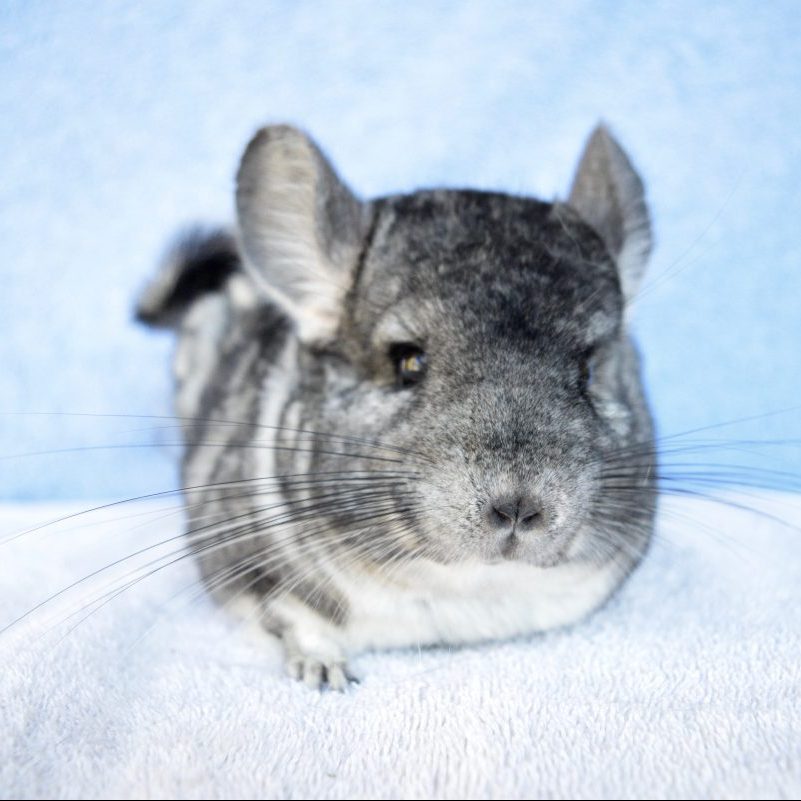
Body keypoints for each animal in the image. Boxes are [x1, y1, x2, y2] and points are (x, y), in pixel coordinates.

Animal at [136, 123, 657, 690]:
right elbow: (291, 615)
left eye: (588, 370)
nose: (519, 507)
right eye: (408, 361)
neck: (464, 593)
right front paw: (325, 672)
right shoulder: (240, 559)